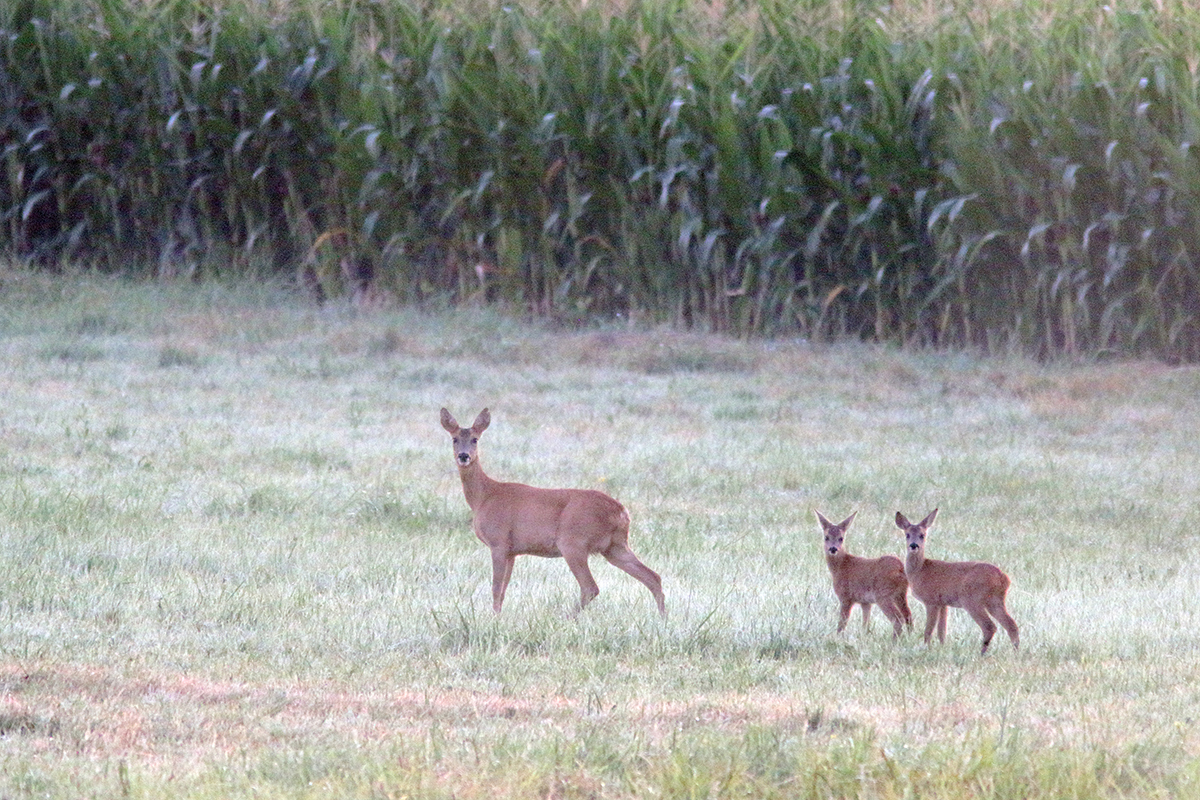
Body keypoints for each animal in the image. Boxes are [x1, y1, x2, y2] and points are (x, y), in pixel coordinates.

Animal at [441, 410, 667, 618]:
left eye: (475, 439)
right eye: (454, 439)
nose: (464, 456)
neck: (484, 497)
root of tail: (620, 511)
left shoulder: (498, 542)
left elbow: (496, 587)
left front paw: (494, 618)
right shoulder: (512, 551)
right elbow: (504, 588)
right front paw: (498, 615)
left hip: (573, 541)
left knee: (590, 587)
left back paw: (567, 617)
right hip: (615, 546)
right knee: (653, 576)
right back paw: (662, 618)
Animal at [897, 510, 1017, 652]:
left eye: (922, 535)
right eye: (907, 535)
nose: (913, 545)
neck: (920, 570)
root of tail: (1003, 577)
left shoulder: (931, 600)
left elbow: (929, 630)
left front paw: (926, 648)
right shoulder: (943, 603)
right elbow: (941, 631)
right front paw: (942, 648)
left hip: (972, 599)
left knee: (989, 626)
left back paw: (981, 653)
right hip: (995, 601)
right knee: (1011, 624)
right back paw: (1015, 651)